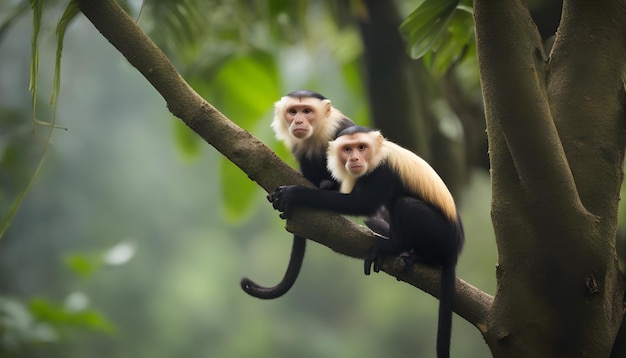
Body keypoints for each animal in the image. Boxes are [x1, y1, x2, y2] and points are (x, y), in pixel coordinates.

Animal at [268, 126, 464, 358]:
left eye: (361, 147)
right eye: (347, 149)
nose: (354, 158)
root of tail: (455, 250)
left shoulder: (383, 170)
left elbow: (361, 204)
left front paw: (293, 194)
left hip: (441, 237)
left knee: (405, 204)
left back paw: (406, 250)